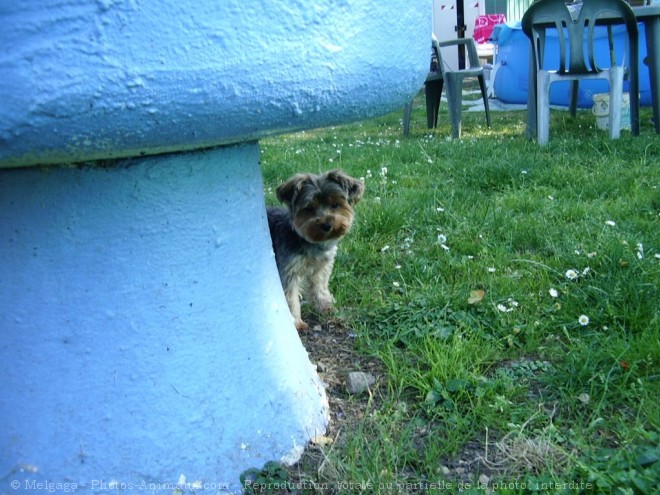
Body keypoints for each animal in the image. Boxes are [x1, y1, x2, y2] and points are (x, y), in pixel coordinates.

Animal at [266, 171, 364, 334]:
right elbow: (290, 297)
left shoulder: (322, 266)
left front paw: (325, 306)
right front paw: (296, 323)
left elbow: (320, 286)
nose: (327, 225)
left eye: (335, 204)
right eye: (309, 208)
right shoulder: (288, 269)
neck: (310, 242)